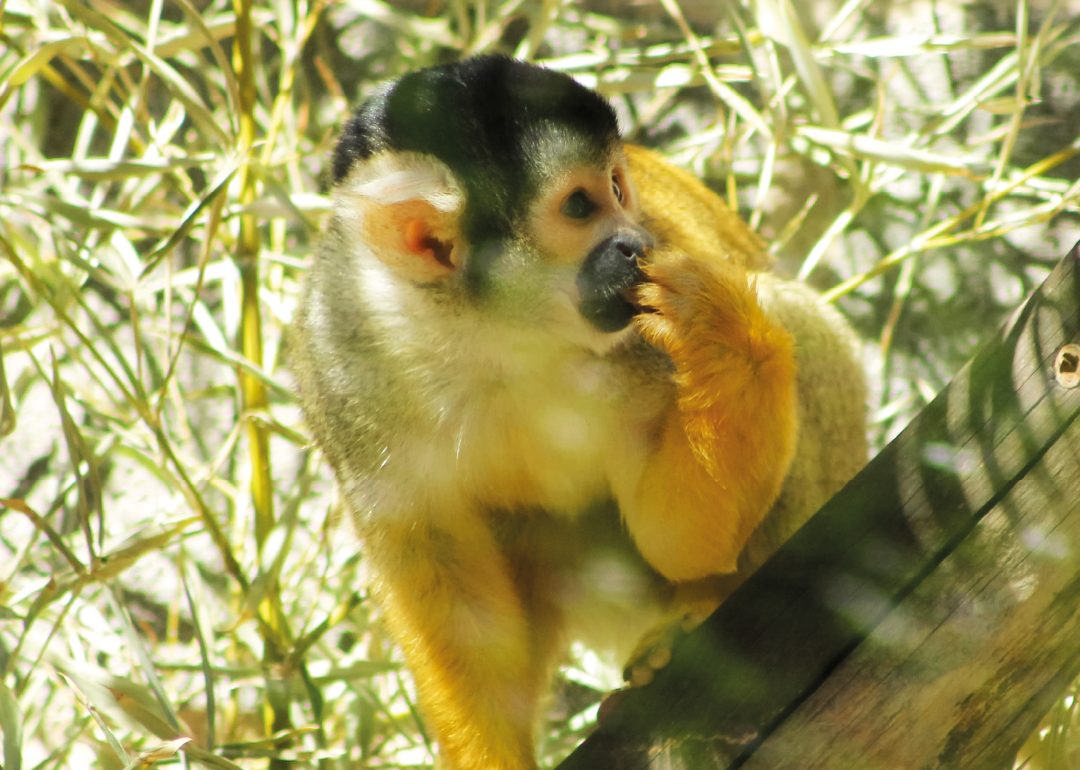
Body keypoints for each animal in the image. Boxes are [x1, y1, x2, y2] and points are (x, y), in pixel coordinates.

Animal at [293, 55, 867, 770]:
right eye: (578, 206)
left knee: (794, 319)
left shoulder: (644, 346)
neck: (492, 334)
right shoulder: (342, 363)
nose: (635, 243)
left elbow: (681, 539)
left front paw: (720, 336)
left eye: (619, 188)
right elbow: (456, 599)